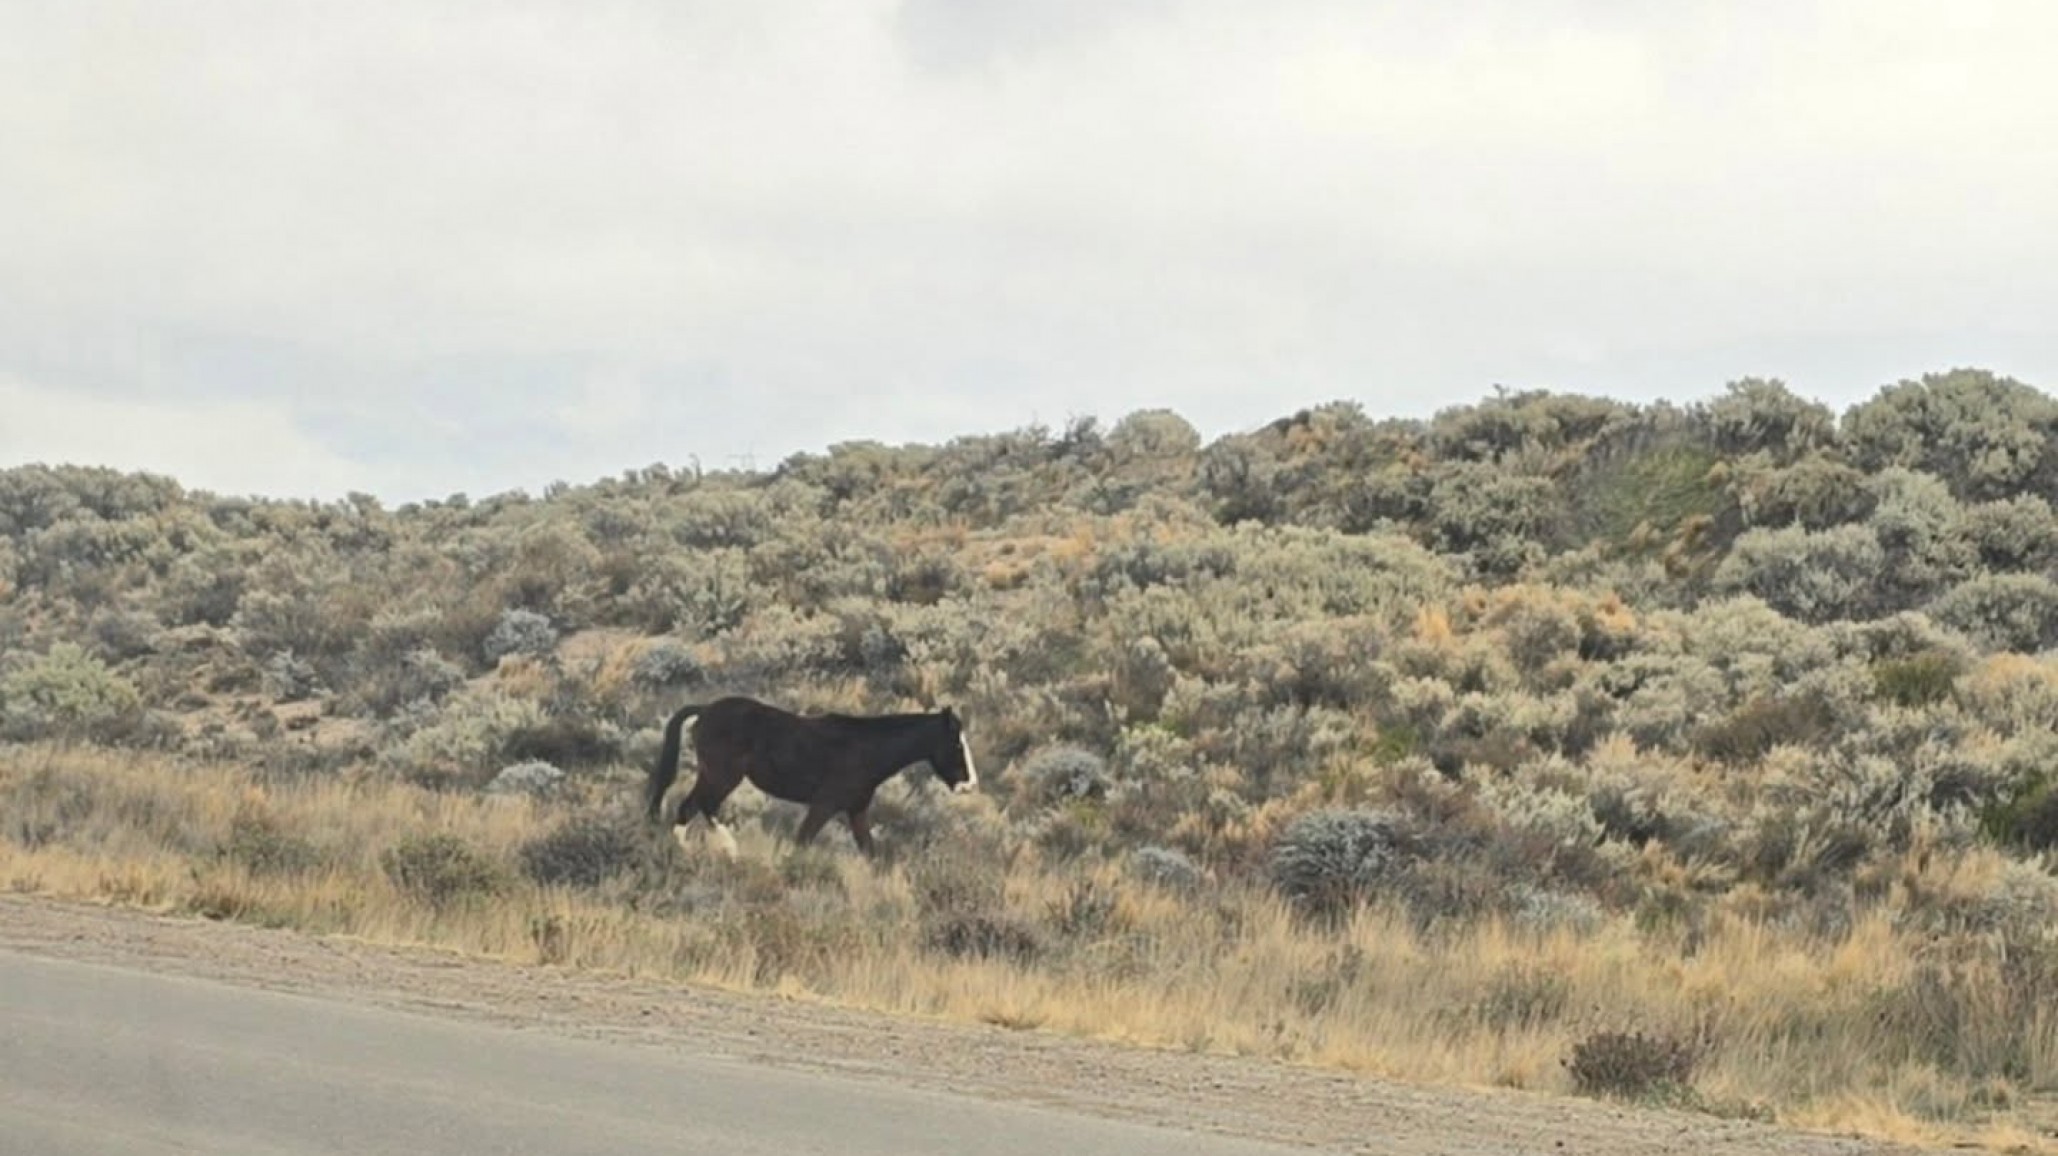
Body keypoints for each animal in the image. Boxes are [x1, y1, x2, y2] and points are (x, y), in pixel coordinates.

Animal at [642, 695, 978, 857]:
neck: (868, 750)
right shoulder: (824, 805)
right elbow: (802, 841)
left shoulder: (856, 811)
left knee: (693, 808)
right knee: (700, 806)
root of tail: (706, 710)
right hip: (722, 776)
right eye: (956, 744)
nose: (970, 785)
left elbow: (870, 853)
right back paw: (726, 849)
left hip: (714, 775)